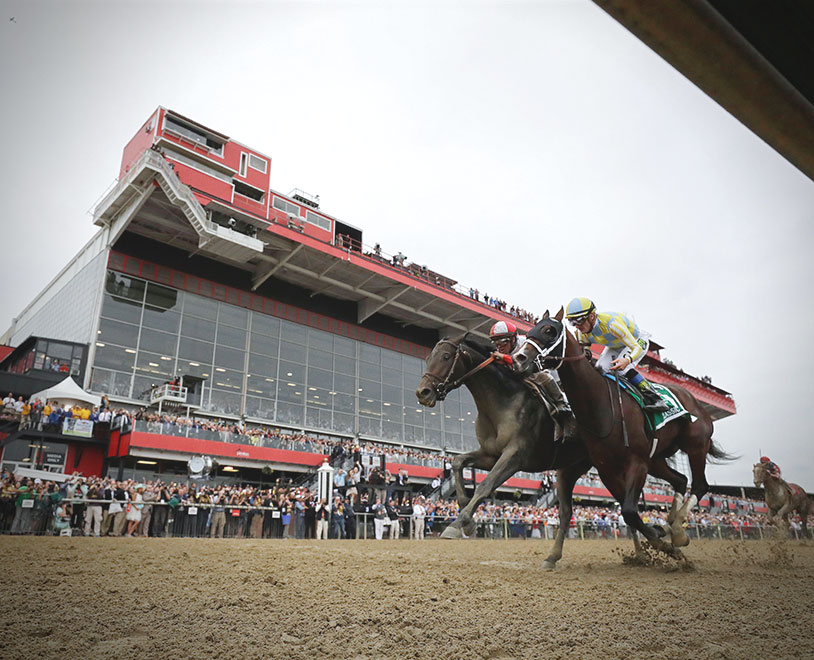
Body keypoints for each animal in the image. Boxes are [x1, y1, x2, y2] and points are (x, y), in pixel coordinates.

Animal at [418, 336, 588, 568]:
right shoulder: (491, 455)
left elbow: (485, 485)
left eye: (445, 356)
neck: (502, 402)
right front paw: (466, 515)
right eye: (427, 358)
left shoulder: (515, 456)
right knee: (566, 511)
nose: (422, 392)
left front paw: (459, 523)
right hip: (569, 468)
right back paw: (552, 558)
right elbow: (458, 462)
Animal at [516, 310, 732, 556]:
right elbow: (629, 511)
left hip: (695, 445)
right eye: (533, 328)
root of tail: (695, 402)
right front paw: (657, 535)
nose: (519, 357)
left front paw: (657, 537)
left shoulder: (637, 463)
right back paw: (674, 527)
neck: (600, 404)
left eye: (549, 330)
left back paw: (676, 527)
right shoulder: (606, 468)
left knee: (699, 485)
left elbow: (629, 510)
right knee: (680, 480)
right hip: (657, 459)